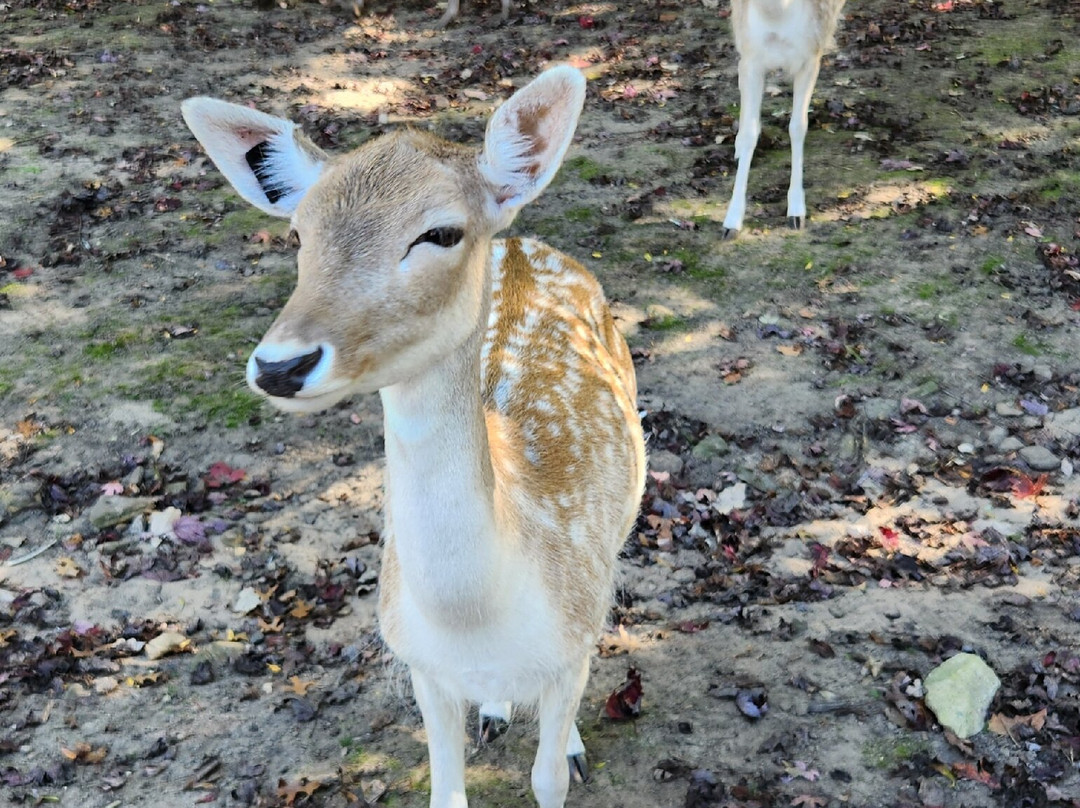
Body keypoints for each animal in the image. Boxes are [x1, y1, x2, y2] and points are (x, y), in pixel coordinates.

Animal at [181, 66, 646, 808]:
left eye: (441, 232)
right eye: (298, 235)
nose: (281, 365)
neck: (477, 622)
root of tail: (521, 241)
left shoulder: (574, 630)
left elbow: (547, 776)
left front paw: (564, 754)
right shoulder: (418, 663)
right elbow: (444, 790)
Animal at [722, 0, 846, 237]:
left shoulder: (811, 55)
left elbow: (797, 126)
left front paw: (796, 213)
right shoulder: (751, 54)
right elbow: (751, 132)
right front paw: (731, 222)